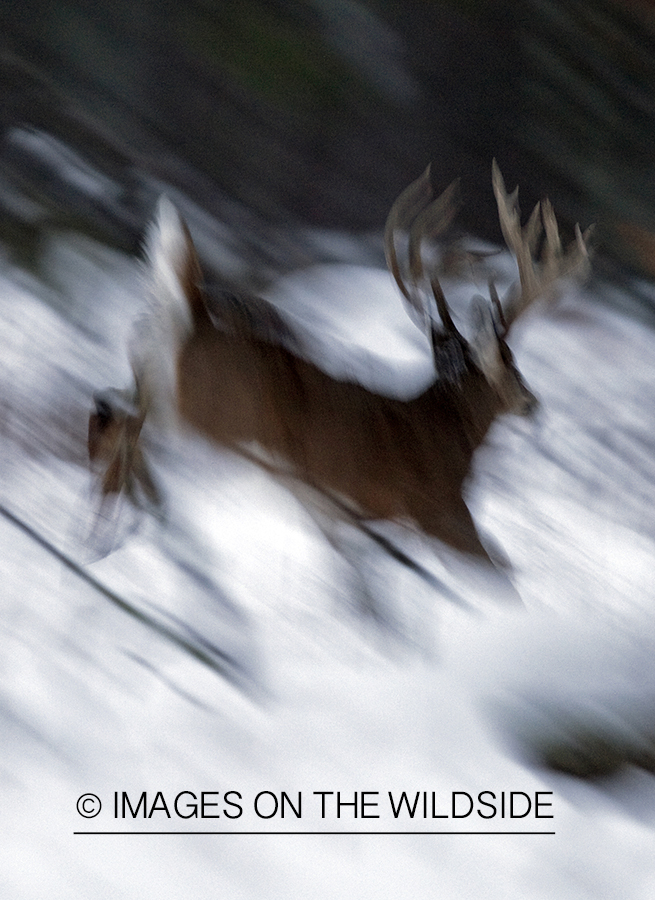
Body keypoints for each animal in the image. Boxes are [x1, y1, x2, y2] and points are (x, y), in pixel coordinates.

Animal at [88, 163, 596, 604]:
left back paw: (109, 523)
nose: (532, 403)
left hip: (155, 372)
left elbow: (364, 584)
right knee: (132, 421)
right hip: (211, 416)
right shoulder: (438, 510)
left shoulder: (350, 517)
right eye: (510, 361)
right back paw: (126, 518)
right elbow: (499, 575)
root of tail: (193, 316)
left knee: (113, 406)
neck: (445, 436)